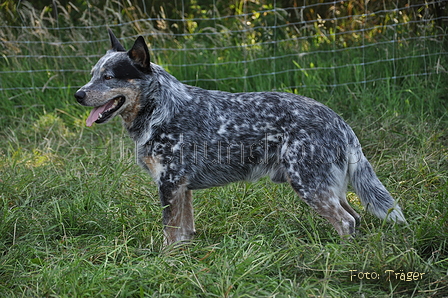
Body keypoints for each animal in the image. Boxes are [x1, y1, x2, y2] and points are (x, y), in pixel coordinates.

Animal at [74, 29, 406, 246]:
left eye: (109, 77)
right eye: (92, 74)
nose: (78, 94)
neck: (161, 108)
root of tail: (338, 119)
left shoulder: (169, 183)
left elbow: (170, 232)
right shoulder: (181, 188)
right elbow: (184, 232)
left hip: (309, 185)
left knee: (347, 221)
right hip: (327, 186)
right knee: (354, 217)